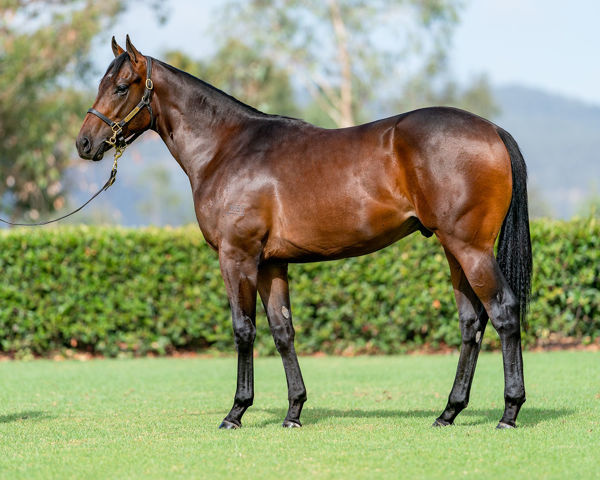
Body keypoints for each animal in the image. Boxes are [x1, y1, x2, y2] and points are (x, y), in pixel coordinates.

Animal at [77, 36, 532, 428]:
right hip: (454, 250)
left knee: (504, 312)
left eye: (121, 87)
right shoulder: (271, 264)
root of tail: (492, 130)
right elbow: (283, 332)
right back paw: (449, 412)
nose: (84, 143)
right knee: (471, 323)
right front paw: (294, 412)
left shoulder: (237, 256)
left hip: (470, 248)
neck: (228, 148)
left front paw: (236, 412)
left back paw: (509, 412)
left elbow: (243, 329)